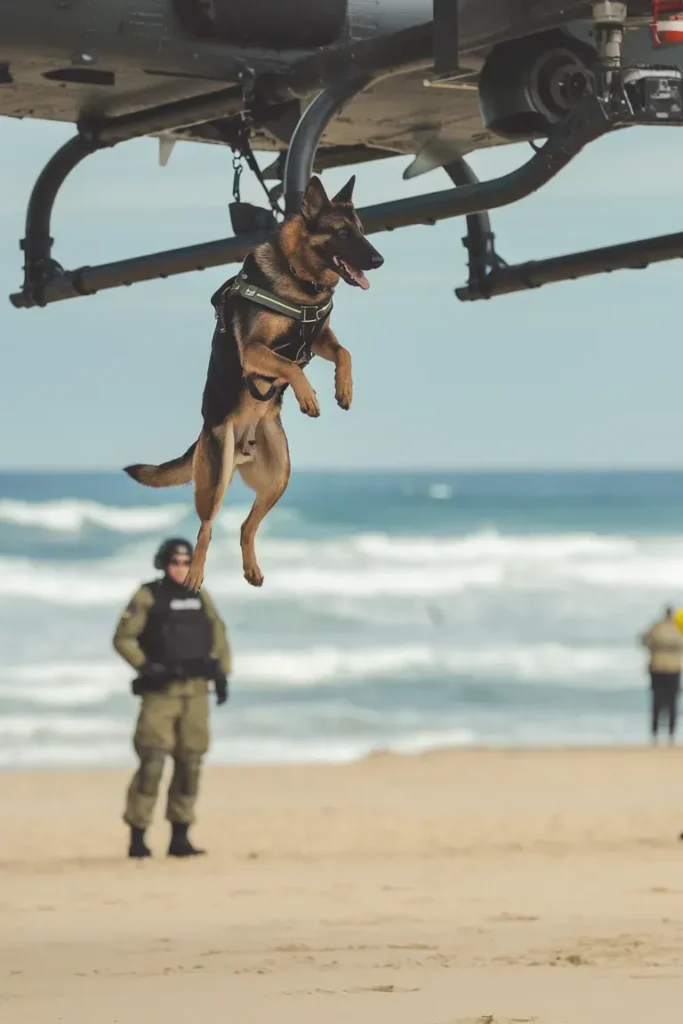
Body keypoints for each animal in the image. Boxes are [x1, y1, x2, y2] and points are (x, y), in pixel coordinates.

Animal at [123, 176, 385, 593]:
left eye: (361, 231)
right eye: (344, 234)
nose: (378, 261)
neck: (298, 279)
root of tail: (236, 444)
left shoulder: (319, 338)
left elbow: (344, 352)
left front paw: (343, 388)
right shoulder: (254, 351)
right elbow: (289, 366)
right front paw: (308, 396)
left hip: (279, 477)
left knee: (246, 526)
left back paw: (251, 569)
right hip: (215, 479)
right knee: (206, 527)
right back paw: (194, 573)